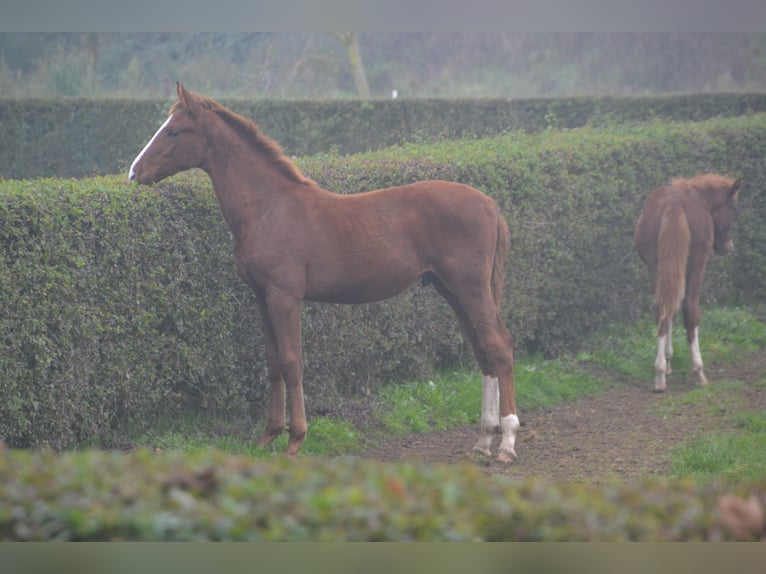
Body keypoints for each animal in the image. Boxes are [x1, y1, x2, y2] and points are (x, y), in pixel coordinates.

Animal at [130, 83, 520, 464]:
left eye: (174, 131)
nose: (135, 173)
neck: (269, 208)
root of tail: (489, 204)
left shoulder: (284, 297)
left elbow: (292, 363)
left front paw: (295, 440)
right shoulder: (262, 297)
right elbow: (272, 362)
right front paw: (268, 435)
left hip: (469, 288)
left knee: (499, 346)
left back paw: (506, 443)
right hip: (451, 289)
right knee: (482, 350)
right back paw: (483, 440)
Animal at [636, 173, 744, 394]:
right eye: (734, 212)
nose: (728, 246)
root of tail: (674, 203)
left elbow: (669, 309)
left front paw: (667, 361)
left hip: (656, 266)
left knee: (663, 307)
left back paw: (659, 373)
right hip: (695, 265)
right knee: (690, 310)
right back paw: (698, 372)